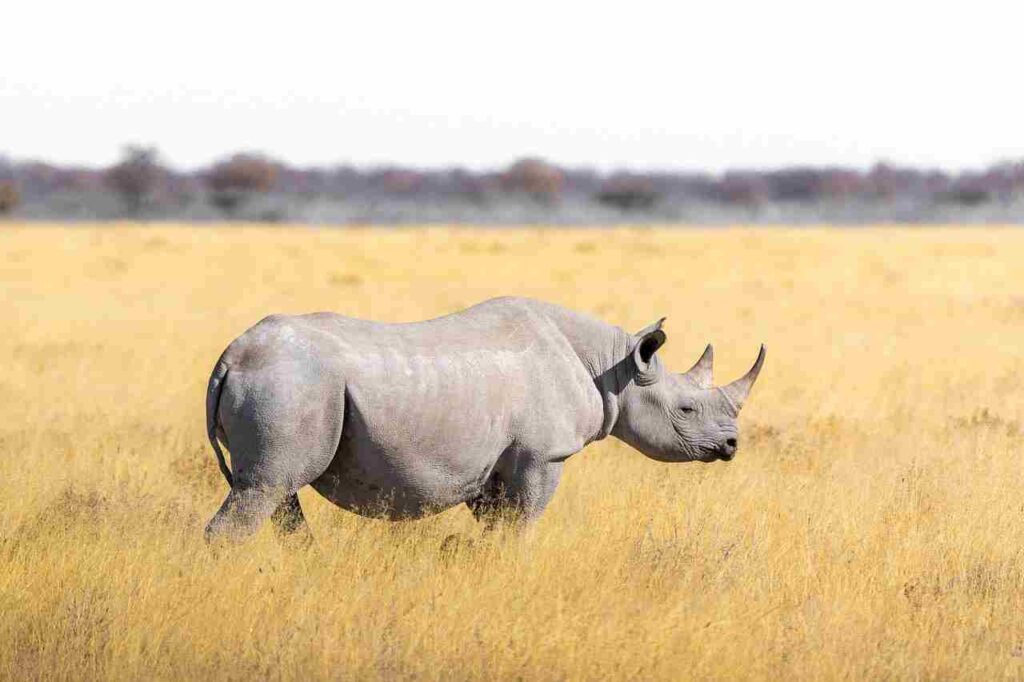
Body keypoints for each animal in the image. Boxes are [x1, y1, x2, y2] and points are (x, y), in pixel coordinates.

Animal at [204, 297, 765, 541]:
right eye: (686, 409)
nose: (732, 446)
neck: (614, 366)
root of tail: (230, 356)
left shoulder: (494, 462)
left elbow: (496, 529)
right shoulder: (542, 455)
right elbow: (522, 526)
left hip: (294, 385)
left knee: (277, 492)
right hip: (292, 382)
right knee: (265, 487)